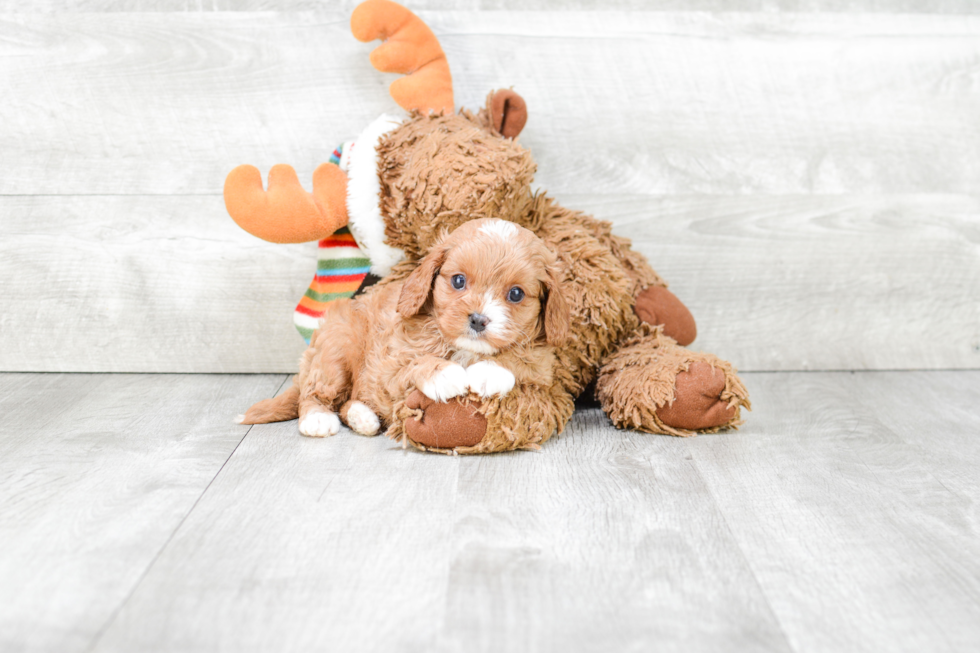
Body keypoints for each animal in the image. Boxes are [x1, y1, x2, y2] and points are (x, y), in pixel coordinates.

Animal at [237, 219, 572, 438]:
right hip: (336, 350)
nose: (478, 319)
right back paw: (318, 419)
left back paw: (362, 418)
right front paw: (443, 373)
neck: (462, 348)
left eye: (515, 294)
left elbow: (522, 360)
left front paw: (491, 370)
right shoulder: (388, 364)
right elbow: (412, 364)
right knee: (316, 393)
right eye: (458, 280)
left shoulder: (543, 366)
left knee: (348, 401)